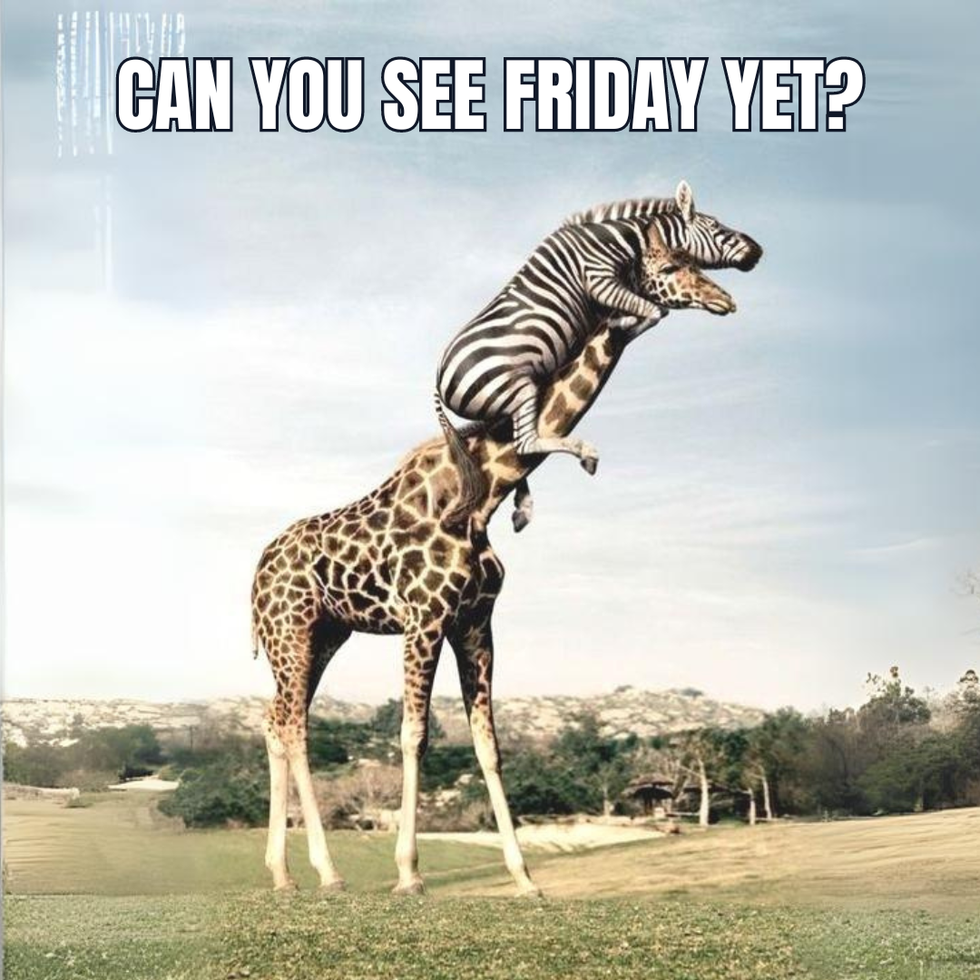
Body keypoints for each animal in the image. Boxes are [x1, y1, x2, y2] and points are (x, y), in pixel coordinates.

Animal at [251, 266, 728, 896]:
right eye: (670, 267)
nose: (721, 298)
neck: (485, 494)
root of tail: (255, 580)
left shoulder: (476, 622)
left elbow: (489, 745)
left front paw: (525, 879)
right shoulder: (424, 619)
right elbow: (414, 734)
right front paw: (409, 874)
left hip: (327, 635)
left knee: (276, 719)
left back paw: (282, 874)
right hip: (294, 631)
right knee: (294, 726)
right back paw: (327, 872)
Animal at [436, 181, 762, 530]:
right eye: (716, 227)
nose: (758, 251)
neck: (618, 239)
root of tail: (437, 382)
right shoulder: (599, 281)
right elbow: (654, 311)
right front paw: (623, 323)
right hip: (517, 388)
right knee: (525, 443)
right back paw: (585, 454)